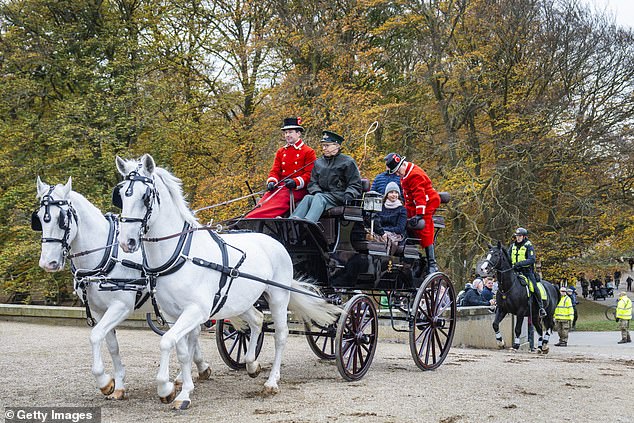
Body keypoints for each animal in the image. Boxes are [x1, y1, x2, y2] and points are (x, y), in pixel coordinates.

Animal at [33, 176, 211, 400]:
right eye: (39, 219)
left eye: (62, 219)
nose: (47, 263)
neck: (104, 256)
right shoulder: (99, 311)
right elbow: (111, 345)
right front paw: (117, 385)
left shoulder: (120, 307)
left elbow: (95, 336)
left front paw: (104, 381)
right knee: (190, 333)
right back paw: (195, 369)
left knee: (192, 333)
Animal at [115, 154, 338, 410]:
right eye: (121, 195)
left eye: (145, 196)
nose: (127, 242)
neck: (181, 253)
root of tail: (275, 242)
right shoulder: (173, 314)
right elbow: (181, 350)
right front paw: (182, 390)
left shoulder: (196, 310)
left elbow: (167, 342)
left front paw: (167, 387)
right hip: (242, 300)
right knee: (257, 320)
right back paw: (251, 363)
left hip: (278, 297)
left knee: (280, 335)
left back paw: (272, 382)